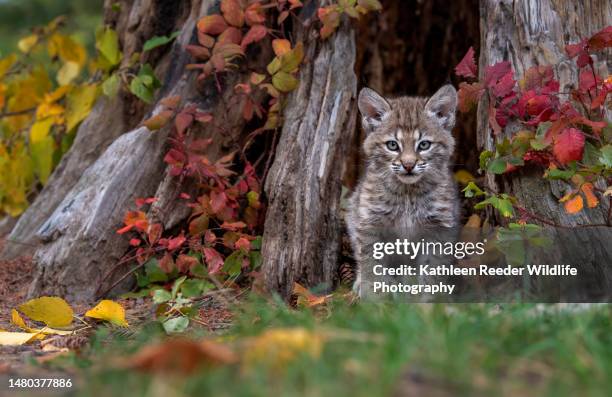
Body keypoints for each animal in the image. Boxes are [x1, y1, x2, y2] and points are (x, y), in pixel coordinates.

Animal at [350, 86, 460, 296]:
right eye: (392, 145)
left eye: (424, 145)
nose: (408, 165)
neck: (408, 192)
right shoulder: (370, 221)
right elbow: (371, 263)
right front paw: (374, 295)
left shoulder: (439, 226)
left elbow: (432, 269)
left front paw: (430, 299)